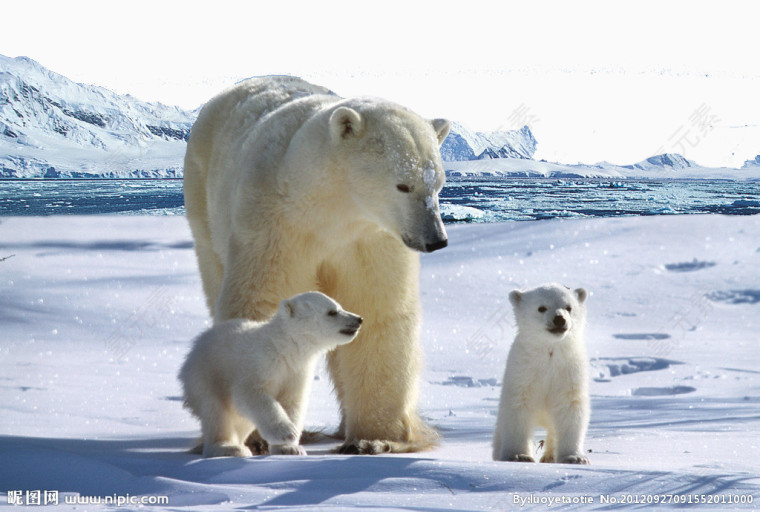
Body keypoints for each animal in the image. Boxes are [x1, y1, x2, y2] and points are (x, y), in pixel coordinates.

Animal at [184, 75, 452, 452]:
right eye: (403, 185)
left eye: (438, 184)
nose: (436, 239)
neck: (330, 209)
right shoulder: (277, 223)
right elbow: (262, 297)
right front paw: (259, 438)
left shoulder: (370, 239)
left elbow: (378, 310)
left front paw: (374, 439)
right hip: (204, 203)